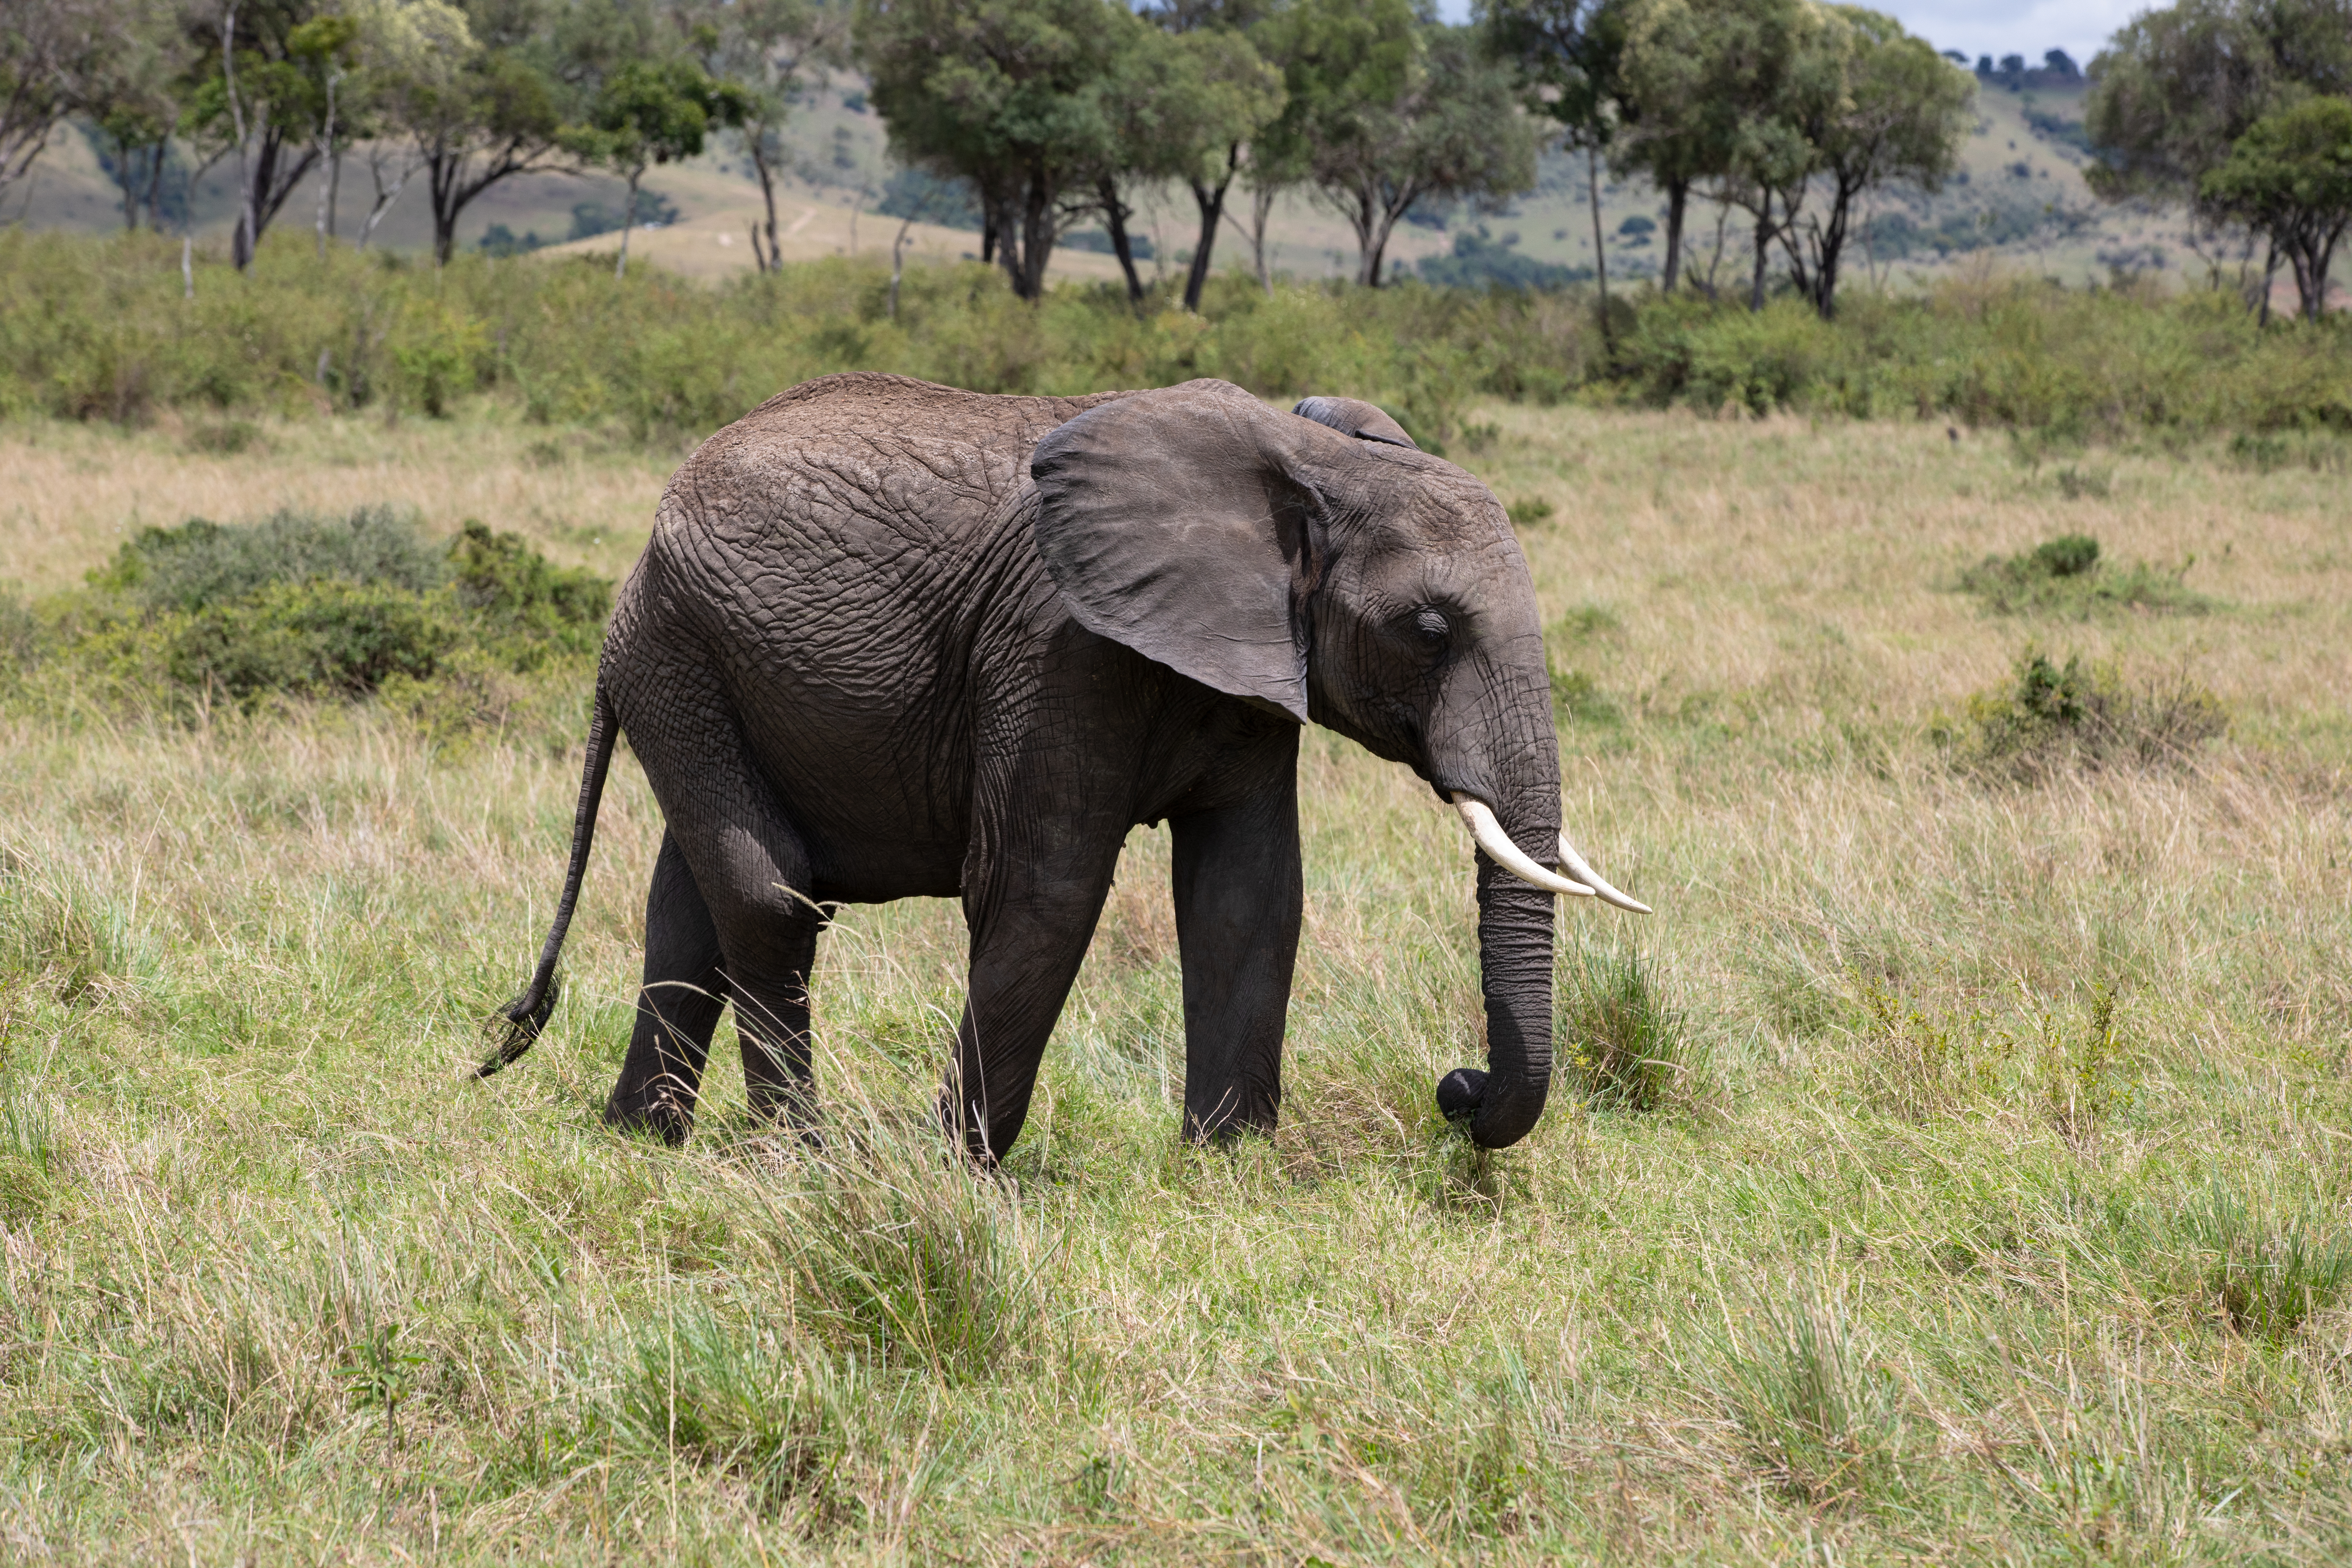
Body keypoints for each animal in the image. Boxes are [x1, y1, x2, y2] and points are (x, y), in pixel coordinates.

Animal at [482, 372, 1647, 1160]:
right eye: (1429, 630)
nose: (1457, 1087)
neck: (1305, 461)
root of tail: (643, 543)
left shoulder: (1250, 664)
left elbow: (1248, 894)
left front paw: (1227, 1168)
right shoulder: (1055, 649)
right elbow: (1042, 889)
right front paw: (958, 1172)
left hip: (695, 668)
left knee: (688, 901)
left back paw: (641, 1140)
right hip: (677, 649)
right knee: (768, 897)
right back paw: (797, 1160)